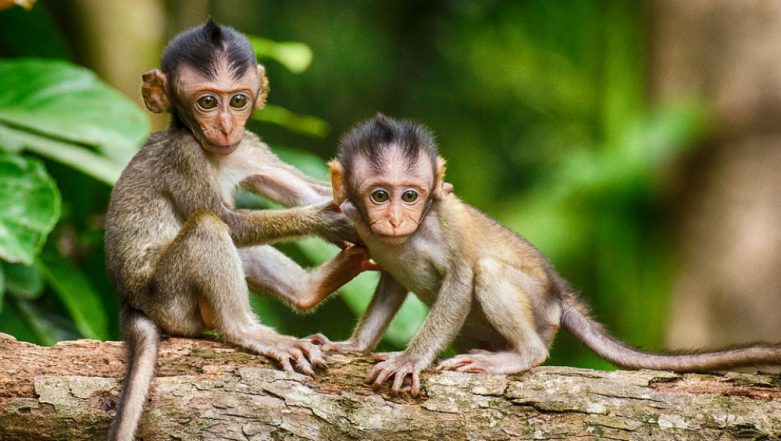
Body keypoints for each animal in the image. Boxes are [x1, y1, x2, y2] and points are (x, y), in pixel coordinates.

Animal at [104, 20, 371, 441]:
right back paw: (246, 330)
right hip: (170, 299)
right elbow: (226, 220)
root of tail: (131, 303)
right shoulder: (183, 155)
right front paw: (330, 220)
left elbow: (303, 189)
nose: (226, 126)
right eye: (207, 102)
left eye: (239, 101)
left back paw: (309, 290)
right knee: (208, 226)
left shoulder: (247, 147)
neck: (213, 152)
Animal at [310, 114, 781, 397]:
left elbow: (462, 278)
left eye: (410, 195)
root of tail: (559, 296)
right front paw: (353, 346)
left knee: (489, 272)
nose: (395, 219)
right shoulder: (360, 225)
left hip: (539, 309)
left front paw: (410, 359)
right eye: (380, 195)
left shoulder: (442, 221)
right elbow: (391, 282)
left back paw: (523, 355)